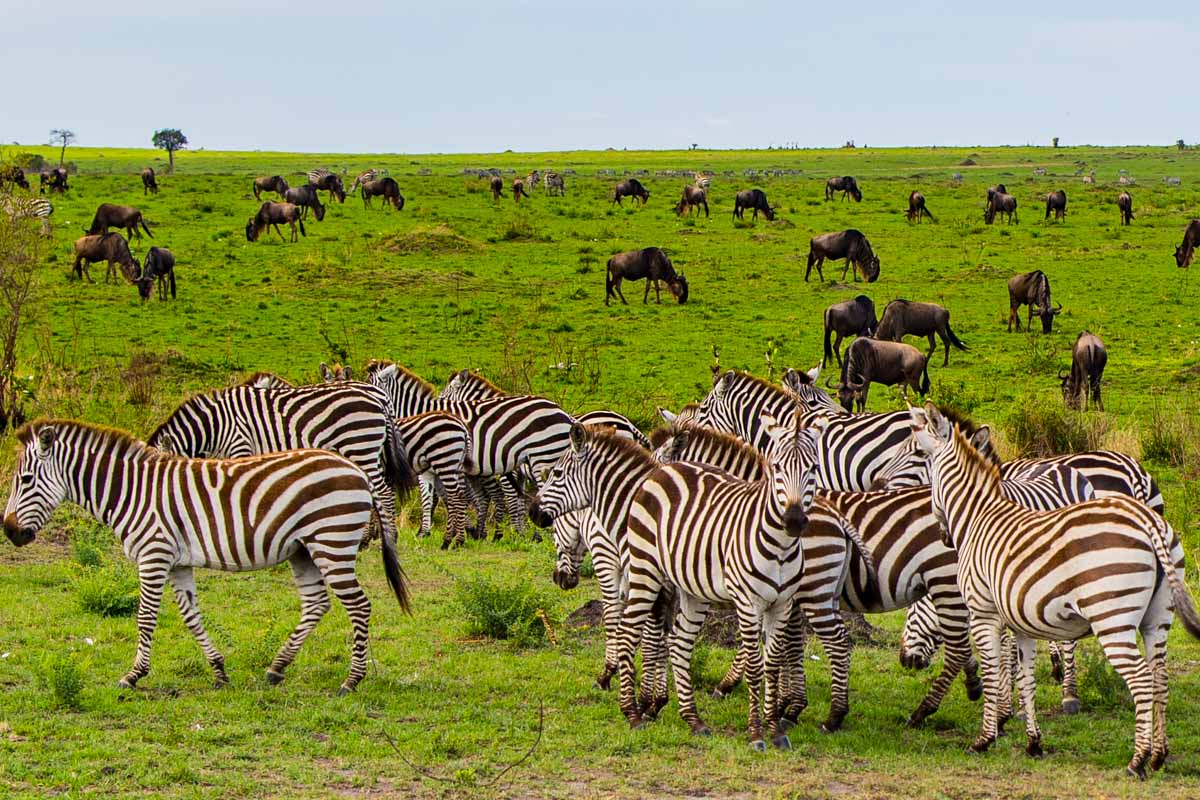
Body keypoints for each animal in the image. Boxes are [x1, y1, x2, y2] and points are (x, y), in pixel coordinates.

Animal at [2, 419, 410, 695]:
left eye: (24, 480)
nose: (9, 531)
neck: (131, 491)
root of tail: (355, 469)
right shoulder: (178, 563)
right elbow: (191, 617)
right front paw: (218, 671)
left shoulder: (153, 554)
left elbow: (145, 618)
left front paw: (133, 675)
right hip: (303, 550)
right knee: (316, 604)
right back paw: (277, 668)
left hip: (332, 541)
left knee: (359, 606)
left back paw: (351, 680)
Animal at [148, 381, 417, 551]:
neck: (215, 425)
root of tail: (378, 397)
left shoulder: (240, 446)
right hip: (370, 449)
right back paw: (367, 538)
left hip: (360, 444)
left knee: (382, 492)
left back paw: (387, 537)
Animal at [907, 402, 1200, 777]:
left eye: (919, 455)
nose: (943, 536)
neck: (978, 516)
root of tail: (1146, 520)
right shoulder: (1020, 622)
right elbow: (1026, 676)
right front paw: (1033, 742)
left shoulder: (984, 613)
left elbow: (992, 670)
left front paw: (985, 738)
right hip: (1158, 618)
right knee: (1161, 677)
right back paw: (1159, 755)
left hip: (1112, 617)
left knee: (1141, 679)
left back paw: (1137, 760)